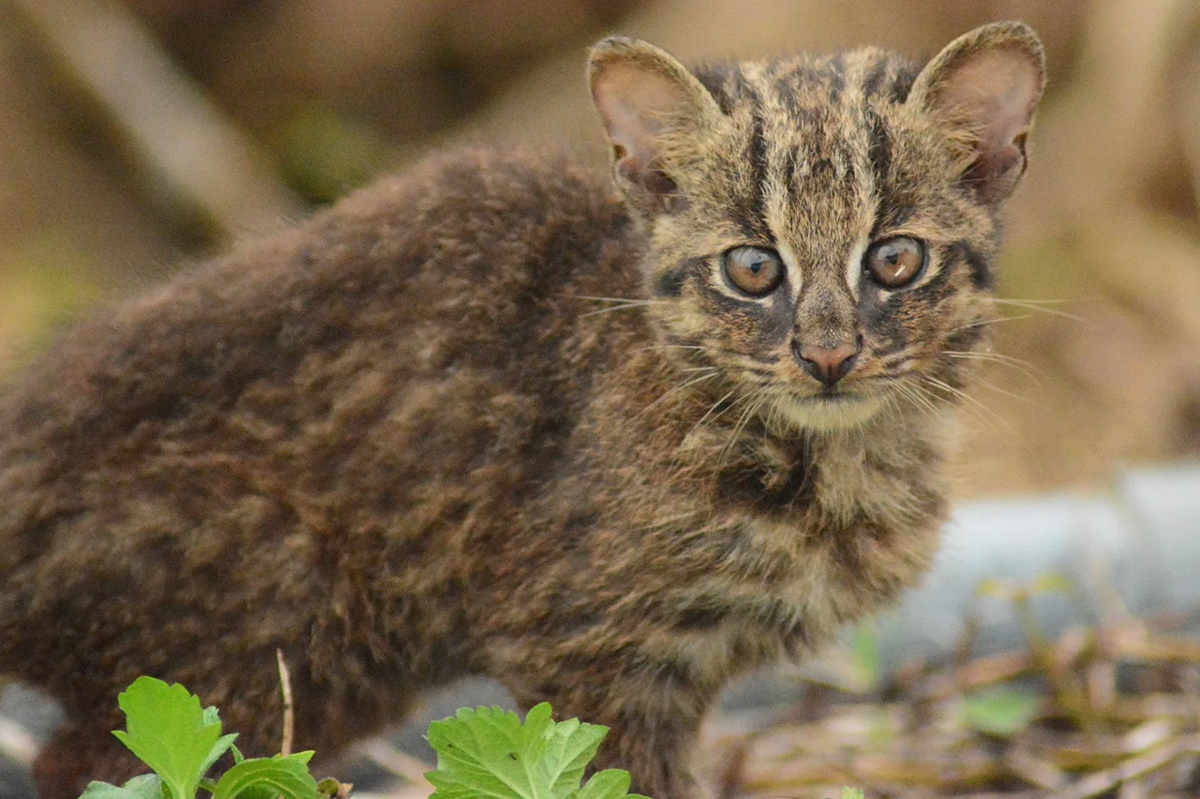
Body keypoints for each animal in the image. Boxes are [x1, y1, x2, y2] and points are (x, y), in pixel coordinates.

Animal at [0, 18, 1041, 796]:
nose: (827, 355)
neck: (838, 448)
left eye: (894, 259)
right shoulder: (586, 647)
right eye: (752, 269)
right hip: (283, 621)